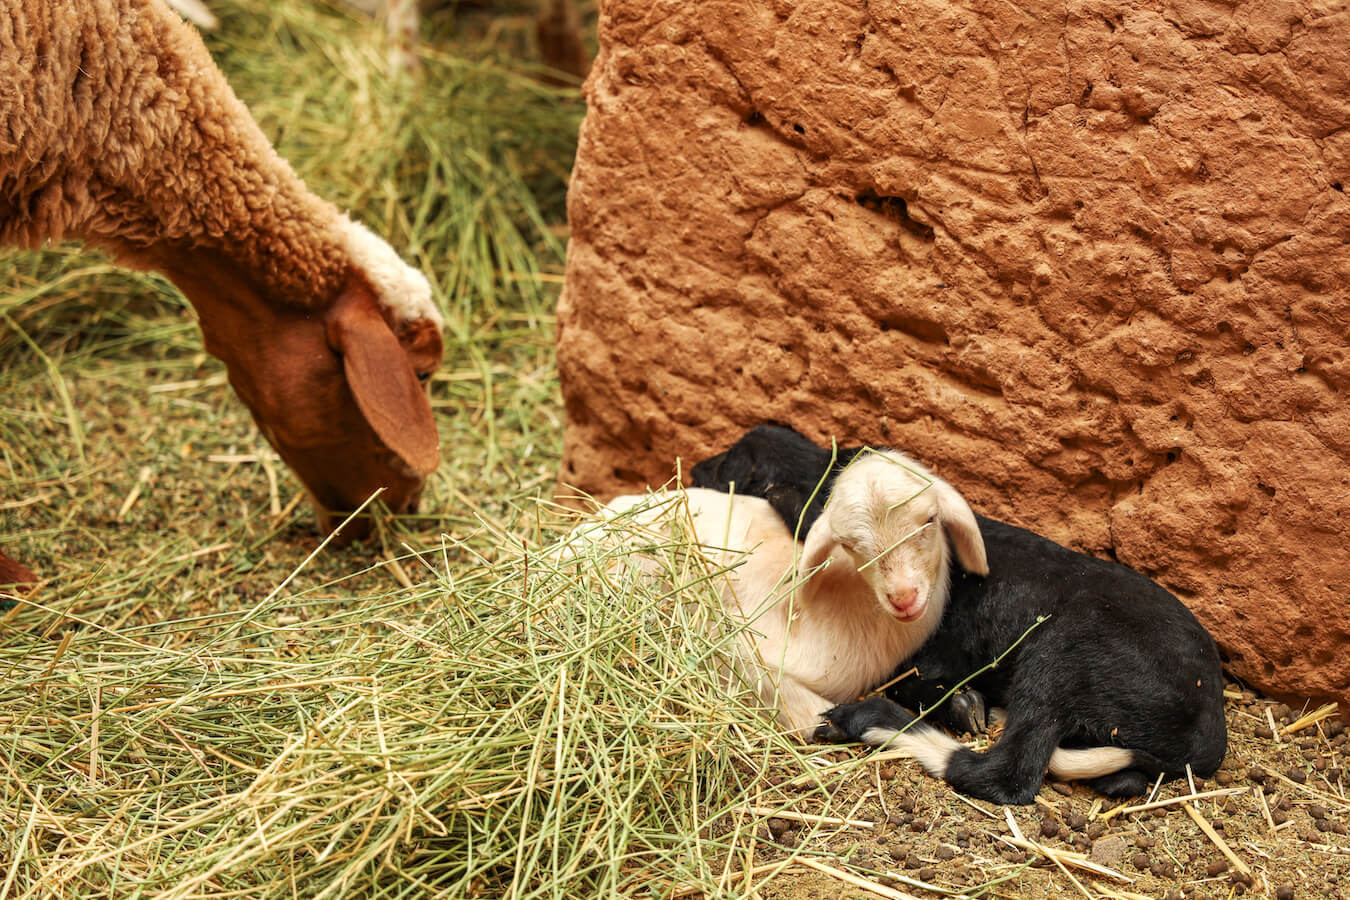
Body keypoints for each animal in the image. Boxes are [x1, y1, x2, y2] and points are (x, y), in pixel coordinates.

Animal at [566, 448, 988, 739]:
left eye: (930, 520)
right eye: (850, 545)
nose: (903, 597)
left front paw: (962, 705)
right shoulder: (740, 642)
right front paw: (830, 724)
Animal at [692, 425, 1228, 805]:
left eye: (730, 468)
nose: (695, 468)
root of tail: (1208, 730)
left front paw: (956, 704)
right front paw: (961, 703)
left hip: (1068, 652)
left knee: (1007, 774)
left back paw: (868, 719)